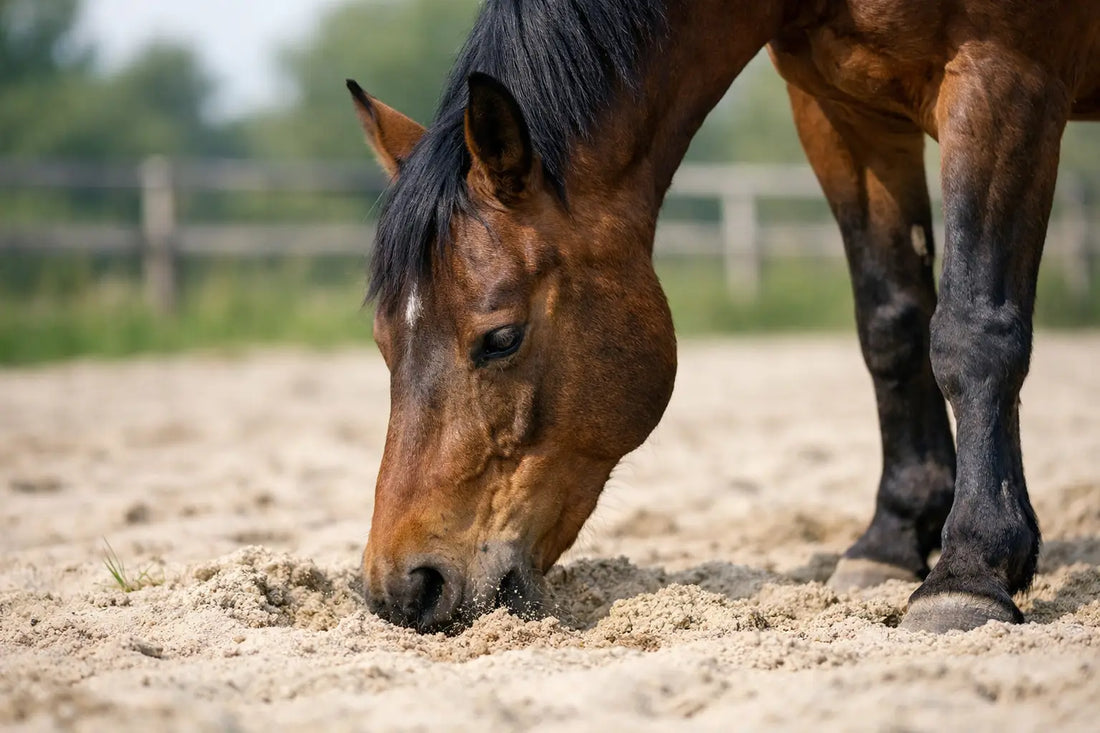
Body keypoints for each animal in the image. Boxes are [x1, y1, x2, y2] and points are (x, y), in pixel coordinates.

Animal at [346, 0, 1100, 634]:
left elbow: (974, 329)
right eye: (382, 343)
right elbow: (893, 323)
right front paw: (893, 538)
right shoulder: (840, 113)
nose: (405, 588)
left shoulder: (1004, 74)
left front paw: (969, 570)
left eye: (500, 338)